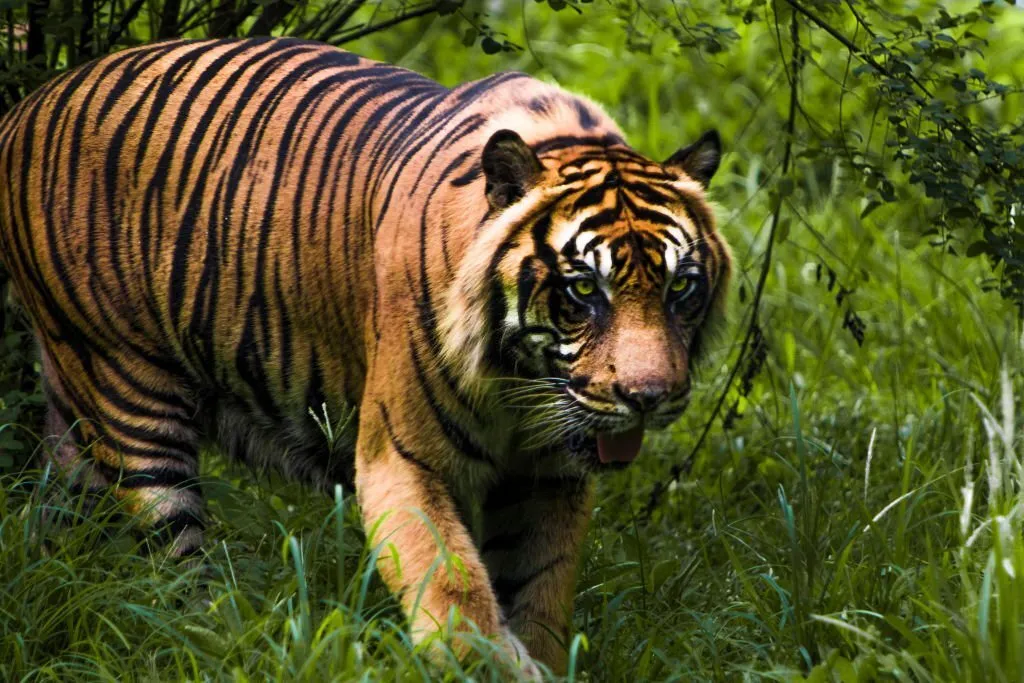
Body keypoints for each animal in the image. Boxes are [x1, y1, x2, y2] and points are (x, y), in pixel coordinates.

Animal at [2, 38, 737, 679]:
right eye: (585, 290)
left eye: (681, 289)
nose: (648, 397)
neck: (520, 384)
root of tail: (32, 101)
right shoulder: (401, 456)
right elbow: (456, 592)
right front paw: (494, 667)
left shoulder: (548, 476)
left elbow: (540, 592)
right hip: (129, 396)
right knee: (179, 565)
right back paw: (223, 640)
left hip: (75, 412)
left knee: (58, 516)